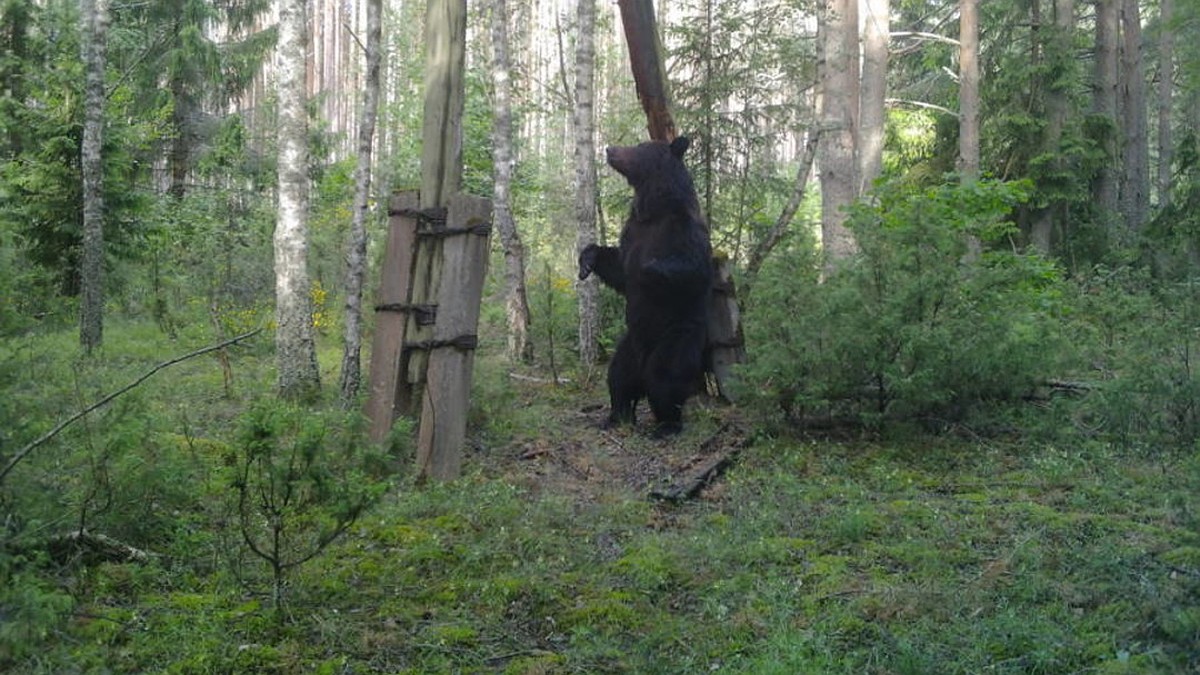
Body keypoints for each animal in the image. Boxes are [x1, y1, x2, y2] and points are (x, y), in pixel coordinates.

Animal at [578, 135, 710, 437]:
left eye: (639, 147)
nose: (609, 149)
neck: (653, 210)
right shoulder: (632, 231)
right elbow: (619, 268)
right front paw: (587, 260)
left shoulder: (684, 230)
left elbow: (692, 269)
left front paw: (649, 271)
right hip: (629, 345)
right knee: (618, 377)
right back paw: (617, 415)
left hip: (675, 336)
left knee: (664, 378)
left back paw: (666, 425)